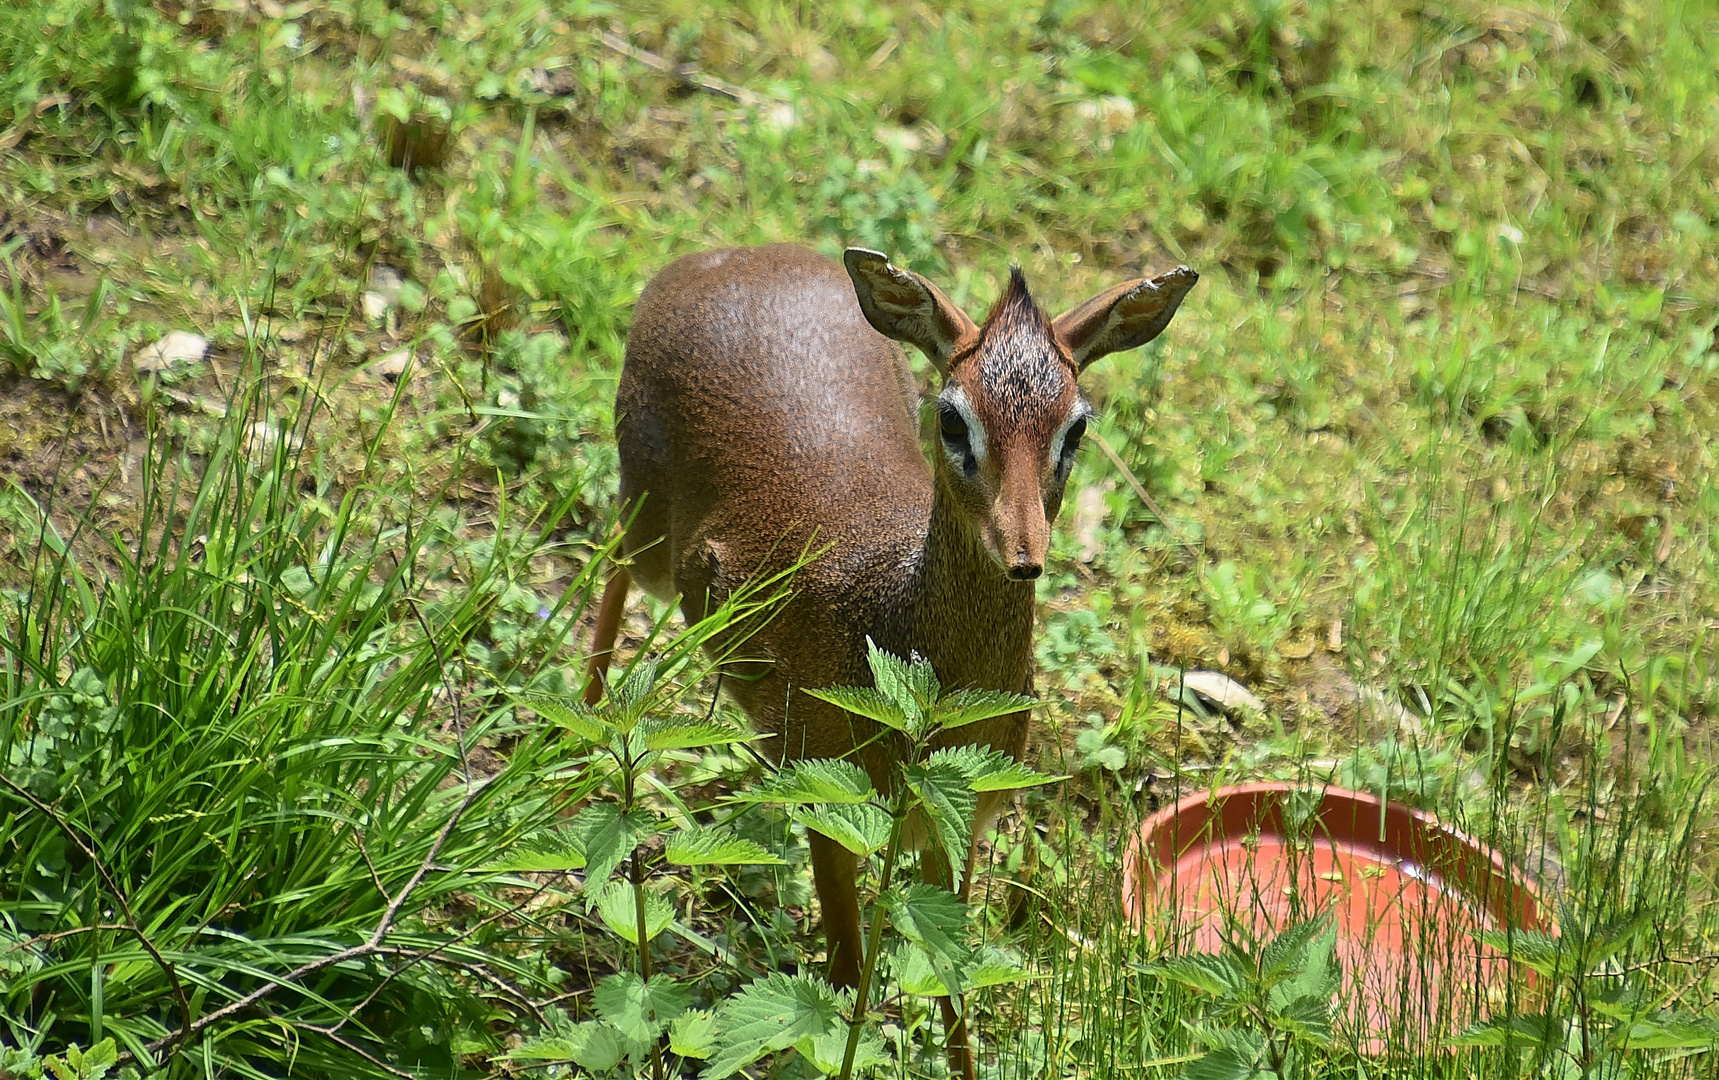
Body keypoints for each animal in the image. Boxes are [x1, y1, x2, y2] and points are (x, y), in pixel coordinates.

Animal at [581, 244, 1196, 1073]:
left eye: (1075, 429)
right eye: (953, 417)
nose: (1023, 554)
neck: (889, 614)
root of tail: (723, 254)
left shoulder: (962, 821)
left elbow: (953, 985)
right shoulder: (824, 797)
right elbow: (844, 977)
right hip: (641, 509)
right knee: (607, 563)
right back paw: (577, 741)